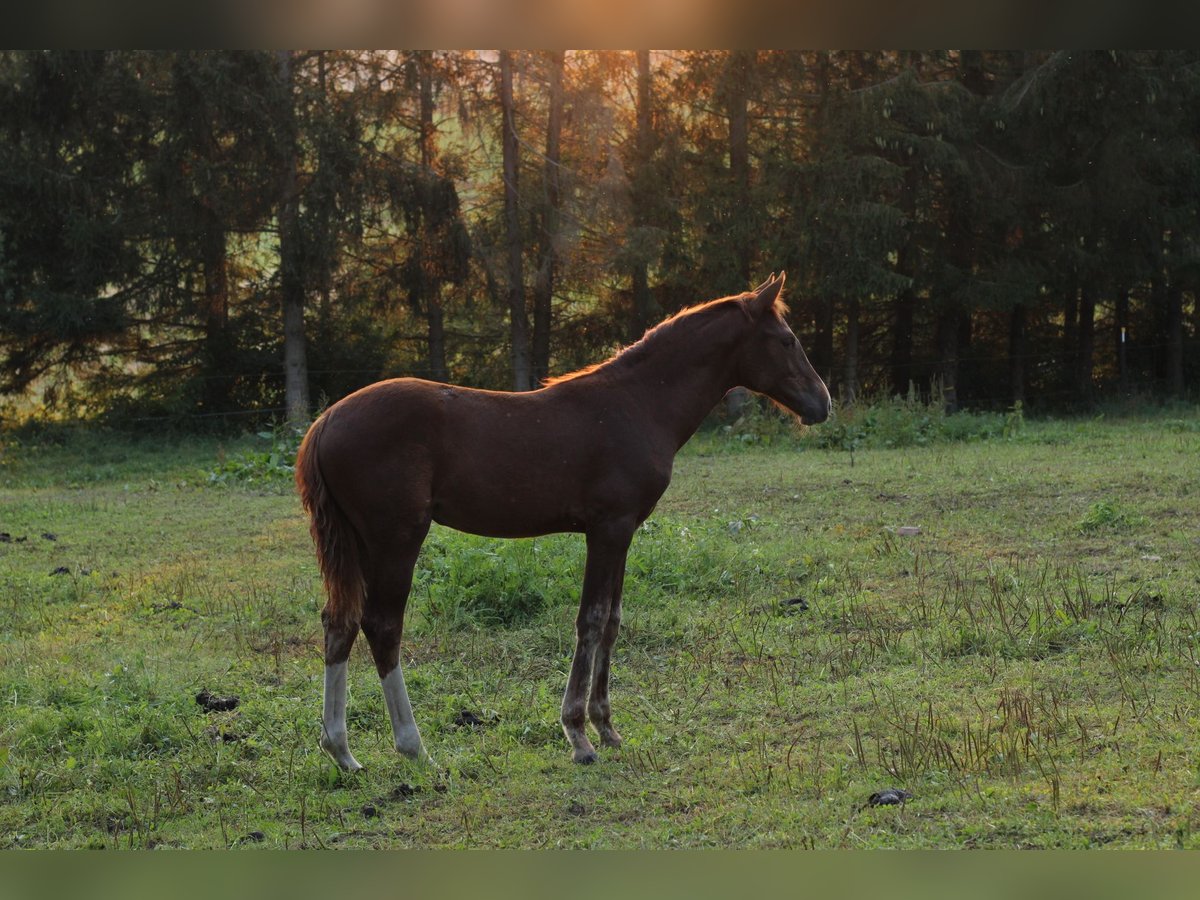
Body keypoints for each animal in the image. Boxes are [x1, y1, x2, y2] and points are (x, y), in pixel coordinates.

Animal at [295, 273, 830, 768]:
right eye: (788, 340)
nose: (822, 403)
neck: (638, 403)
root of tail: (326, 421)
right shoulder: (607, 529)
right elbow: (590, 620)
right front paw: (578, 734)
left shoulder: (623, 532)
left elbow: (612, 620)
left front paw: (607, 727)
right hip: (397, 539)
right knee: (382, 626)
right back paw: (413, 747)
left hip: (357, 542)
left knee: (339, 623)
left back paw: (341, 751)